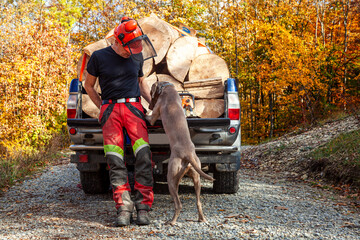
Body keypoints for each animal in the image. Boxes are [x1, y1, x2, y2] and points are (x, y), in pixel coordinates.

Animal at [146, 80, 214, 225]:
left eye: (150, 92)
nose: (148, 105)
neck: (167, 88)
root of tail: (188, 155)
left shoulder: (154, 116)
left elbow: (149, 116)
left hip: (171, 177)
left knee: (178, 204)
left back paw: (171, 221)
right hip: (196, 178)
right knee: (198, 202)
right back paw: (201, 219)